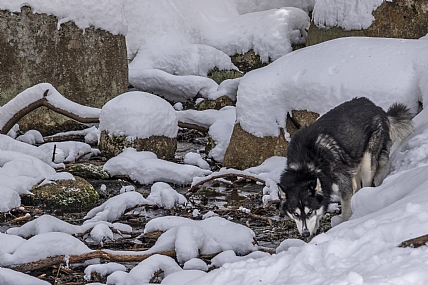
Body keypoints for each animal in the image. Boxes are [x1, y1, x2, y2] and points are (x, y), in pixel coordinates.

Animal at [280, 97, 412, 237]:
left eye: (309, 212)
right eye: (295, 214)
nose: (305, 234)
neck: (307, 164)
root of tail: (376, 107)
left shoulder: (344, 187)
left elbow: (345, 212)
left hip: (366, 165)